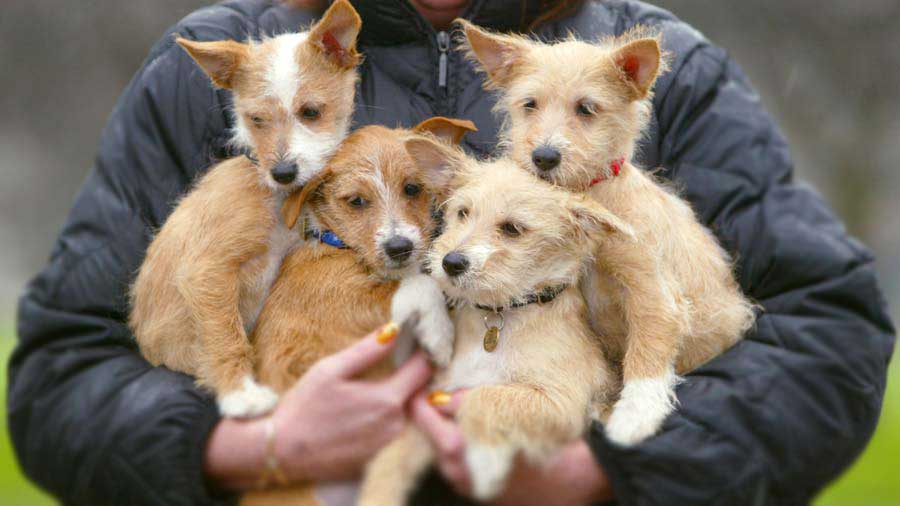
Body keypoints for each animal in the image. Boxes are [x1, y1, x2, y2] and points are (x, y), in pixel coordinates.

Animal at [127, 0, 366, 418]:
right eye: (257, 119)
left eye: (310, 112)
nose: (283, 173)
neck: (278, 200)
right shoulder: (205, 271)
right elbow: (225, 333)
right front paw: (241, 394)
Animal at [239, 115, 478, 506]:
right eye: (356, 201)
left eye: (412, 188)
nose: (399, 247)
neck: (341, 245)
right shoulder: (349, 308)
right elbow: (420, 285)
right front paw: (439, 336)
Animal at [358, 138, 624, 506]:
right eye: (462, 213)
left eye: (512, 229)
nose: (451, 262)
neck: (499, 317)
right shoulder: (432, 404)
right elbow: (389, 462)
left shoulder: (563, 402)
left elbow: (483, 397)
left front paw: (484, 461)